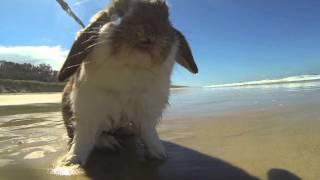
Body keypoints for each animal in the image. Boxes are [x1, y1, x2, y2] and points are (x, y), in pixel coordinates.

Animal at [57, 0, 198, 166]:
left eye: (167, 19)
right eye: (118, 14)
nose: (149, 32)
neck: (131, 68)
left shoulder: (147, 111)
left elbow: (149, 134)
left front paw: (159, 154)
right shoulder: (88, 110)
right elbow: (83, 138)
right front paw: (72, 161)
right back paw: (108, 143)